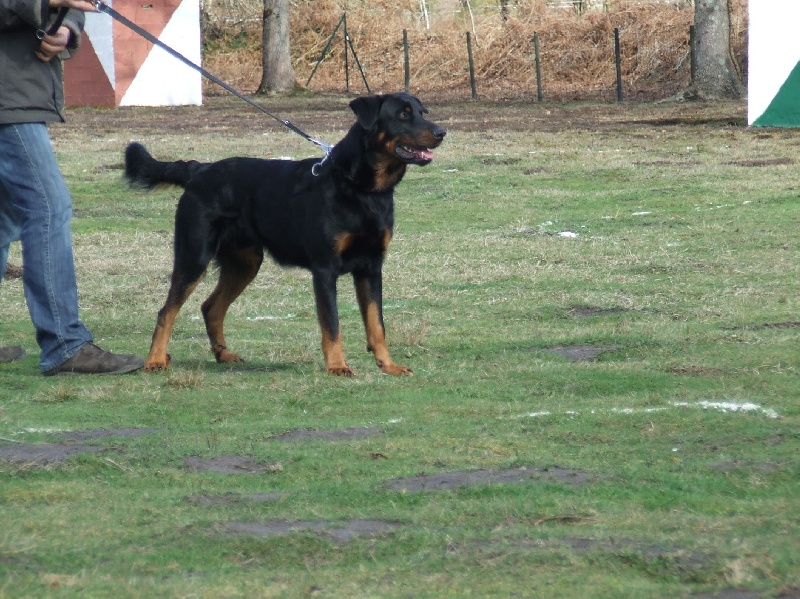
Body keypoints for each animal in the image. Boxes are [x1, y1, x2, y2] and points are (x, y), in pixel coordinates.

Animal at [128, 92, 446, 378]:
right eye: (403, 115)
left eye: (422, 112)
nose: (442, 132)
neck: (362, 189)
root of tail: (198, 169)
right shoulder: (325, 269)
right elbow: (332, 324)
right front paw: (337, 366)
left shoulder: (371, 268)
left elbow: (377, 324)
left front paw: (388, 366)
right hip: (194, 257)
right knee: (167, 311)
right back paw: (155, 360)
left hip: (245, 263)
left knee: (211, 307)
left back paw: (223, 355)